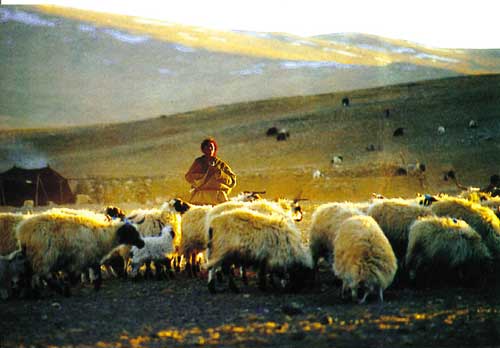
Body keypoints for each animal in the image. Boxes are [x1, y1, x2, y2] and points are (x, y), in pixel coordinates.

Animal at [16, 209, 145, 296]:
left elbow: (96, 271)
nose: (142, 243)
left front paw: (96, 285)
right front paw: (74, 285)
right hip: (44, 255)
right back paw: (61, 290)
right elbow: (79, 274)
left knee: (29, 273)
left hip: (31, 255)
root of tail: (23, 231)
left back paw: (33, 292)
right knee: (43, 274)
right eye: (131, 232)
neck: (103, 235)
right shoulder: (81, 258)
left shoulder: (92, 257)